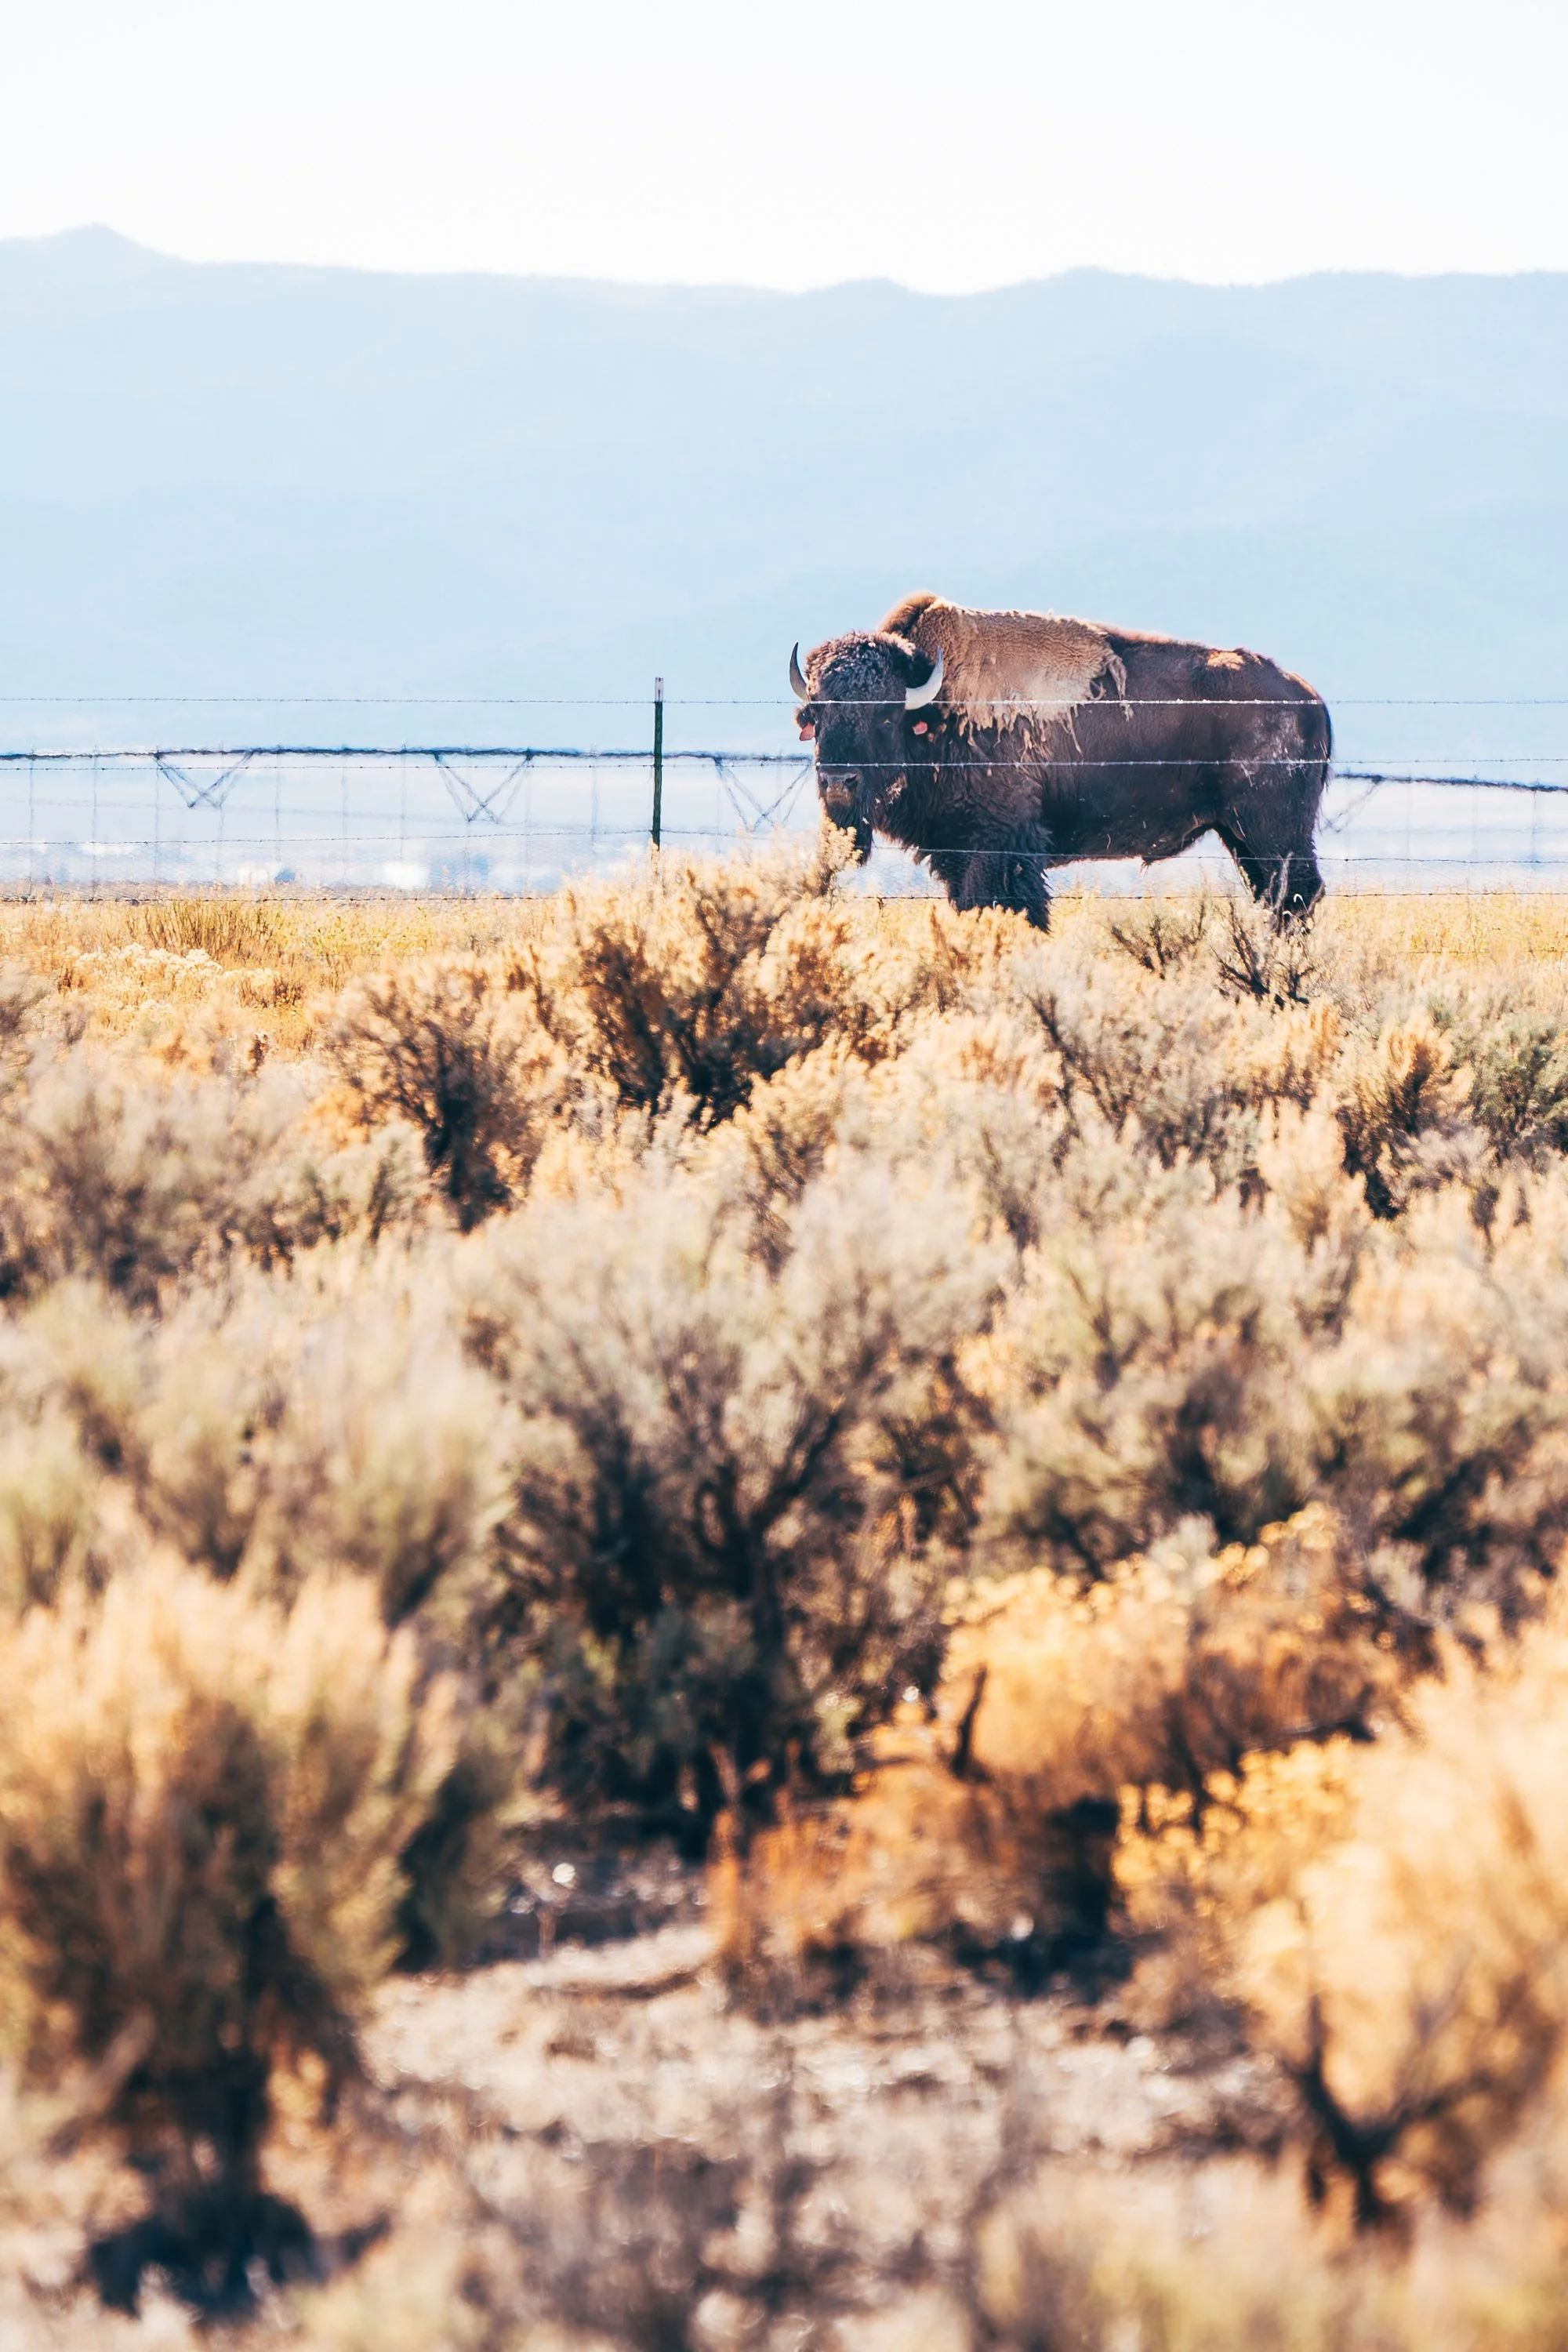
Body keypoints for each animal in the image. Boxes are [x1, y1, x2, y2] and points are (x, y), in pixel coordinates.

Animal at [789, 594, 1331, 927]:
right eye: (817, 713)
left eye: (885, 715)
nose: (838, 782)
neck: (936, 708)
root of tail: (1308, 697)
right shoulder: (957, 850)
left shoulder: (1000, 845)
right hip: (1242, 837)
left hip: (1272, 833)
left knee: (1296, 896)